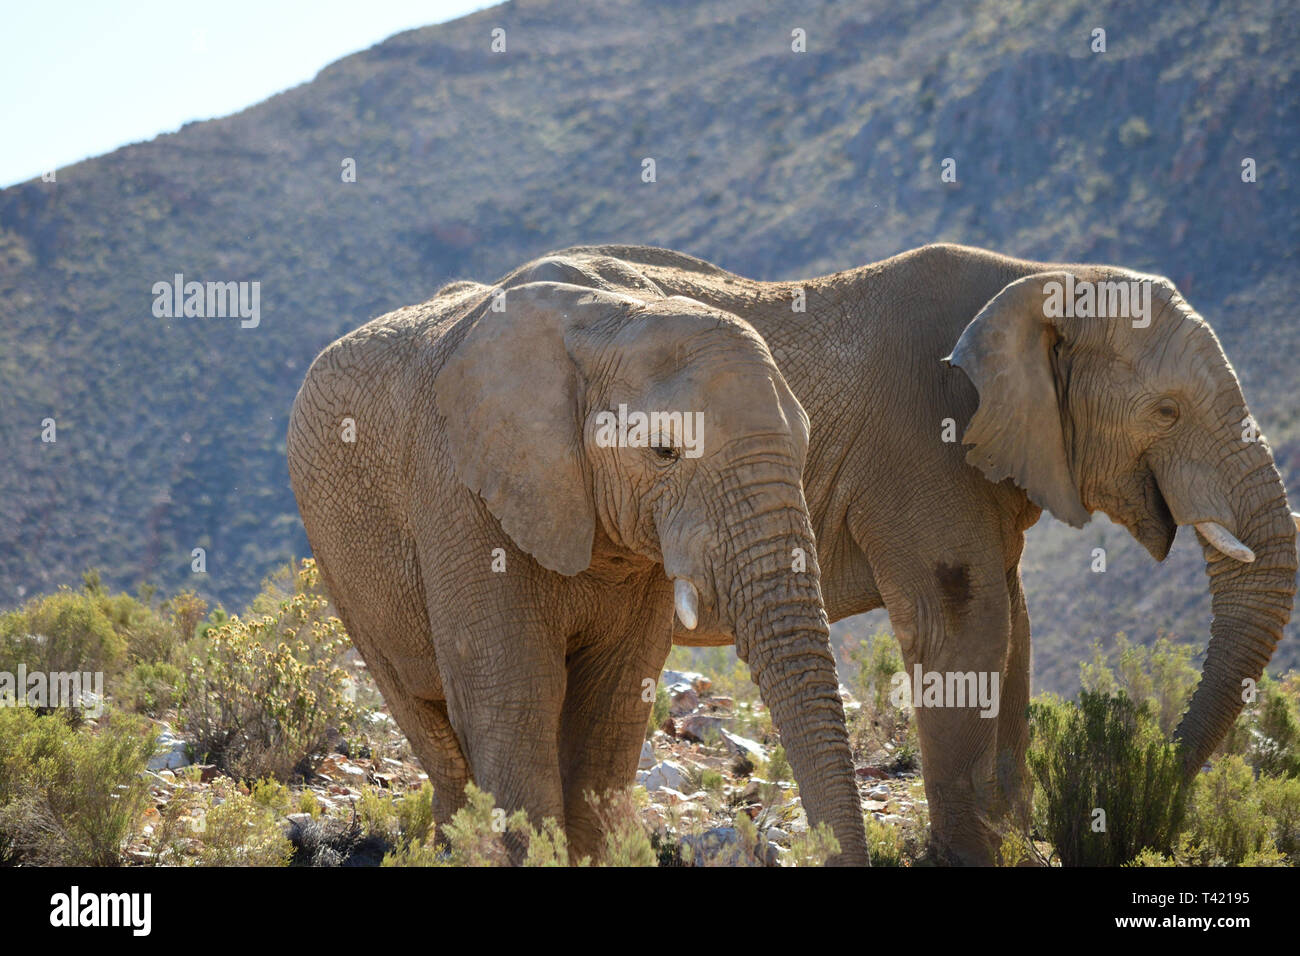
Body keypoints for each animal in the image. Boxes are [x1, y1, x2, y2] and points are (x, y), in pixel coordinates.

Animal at [289, 278, 868, 868]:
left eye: (804, 445)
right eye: (665, 450)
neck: (609, 323)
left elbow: (613, 695)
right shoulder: (458, 491)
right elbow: (512, 692)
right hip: (337, 561)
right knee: (423, 717)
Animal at [483, 240, 1294, 868]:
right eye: (1168, 412)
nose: (1153, 779)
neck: (1040, 277)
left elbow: (1014, 629)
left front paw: (1013, 841)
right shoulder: (921, 447)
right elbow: (965, 625)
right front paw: (970, 856)